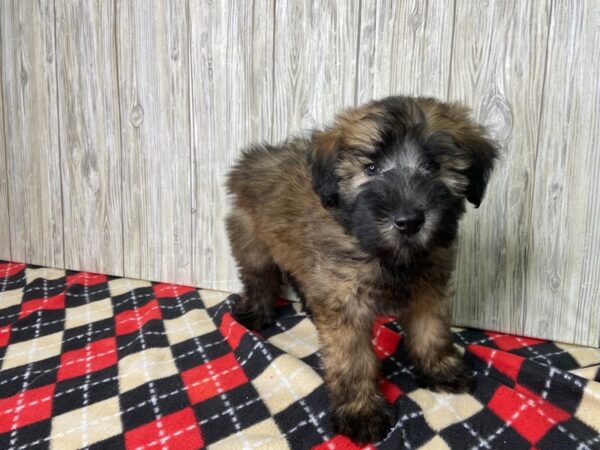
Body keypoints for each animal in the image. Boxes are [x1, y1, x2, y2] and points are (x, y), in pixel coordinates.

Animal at [225, 96, 496, 442]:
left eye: (433, 167)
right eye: (371, 168)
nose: (408, 221)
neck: (386, 255)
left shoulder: (429, 290)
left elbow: (431, 332)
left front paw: (441, 369)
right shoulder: (346, 305)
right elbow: (353, 360)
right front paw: (361, 410)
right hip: (252, 242)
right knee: (259, 279)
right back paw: (256, 312)